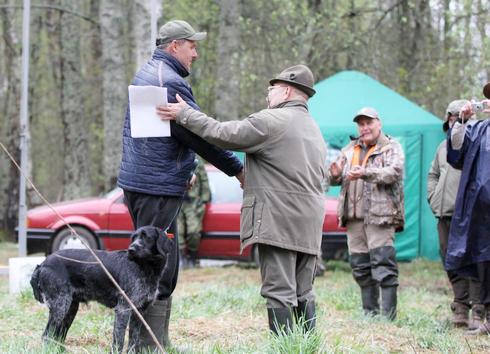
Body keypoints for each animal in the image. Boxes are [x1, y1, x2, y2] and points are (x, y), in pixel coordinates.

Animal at [30, 225, 176, 352]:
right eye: (133, 238)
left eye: (147, 237)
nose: (131, 249)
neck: (146, 268)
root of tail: (42, 264)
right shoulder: (123, 310)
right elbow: (118, 342)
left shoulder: (139, 312)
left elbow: (133, 341)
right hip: (60, 306)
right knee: (47, 335)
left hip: (70, 308)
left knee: (58, 335)